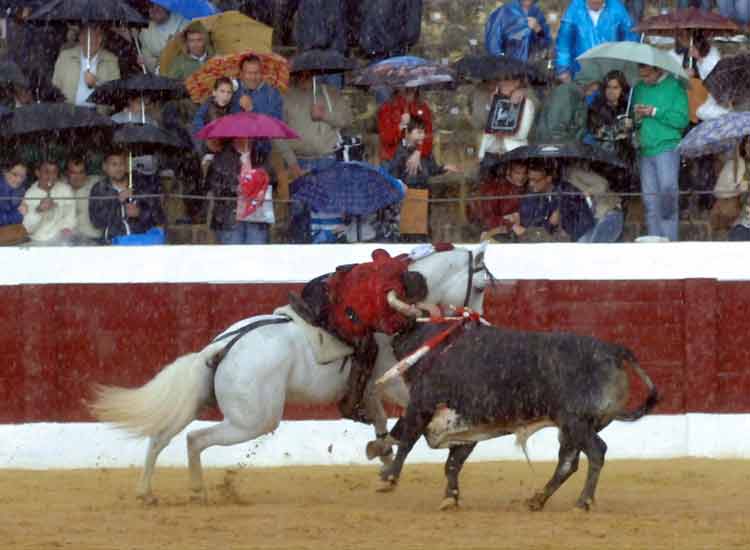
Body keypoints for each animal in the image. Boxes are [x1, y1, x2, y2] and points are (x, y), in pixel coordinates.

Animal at [91, 246, 490, 504]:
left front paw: (383, 455)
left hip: (199, 399)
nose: (479, 320)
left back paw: (147, 492)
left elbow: (379, 420)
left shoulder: (371, 388)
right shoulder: (395, 381)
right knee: (195, 439)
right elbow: (405, 416)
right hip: (255, 420)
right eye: (482, 286)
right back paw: (198, 491)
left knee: (162, 437)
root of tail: (222, 346)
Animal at [378, 324, 660, 512]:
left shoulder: (421, 406)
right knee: (568, 462)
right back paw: (537, 500)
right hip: (572, 428)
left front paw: (388, 479)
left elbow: (406, 441)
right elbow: (453, 463)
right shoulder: (469, 426)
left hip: (576, 422)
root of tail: (614, 350)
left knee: (596, 452)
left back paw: (582, 502)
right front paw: (450, 498)